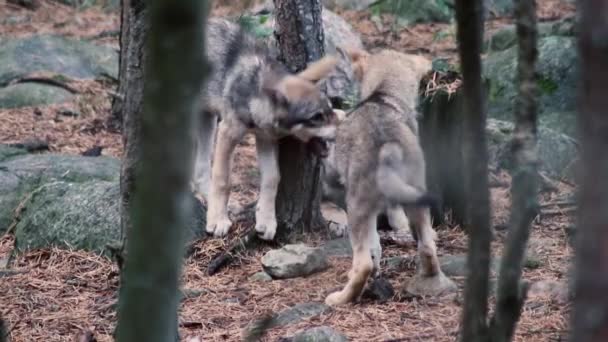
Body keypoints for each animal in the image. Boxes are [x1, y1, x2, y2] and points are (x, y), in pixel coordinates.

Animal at [196, 18, 342, 240]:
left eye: (329, 108)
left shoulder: (266, 138)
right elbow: (223, 179)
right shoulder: (227, 132)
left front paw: (266, 221)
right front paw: (218, 220)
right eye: (316, 117)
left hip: (207, 120)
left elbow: (273, 178)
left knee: (200, 171)